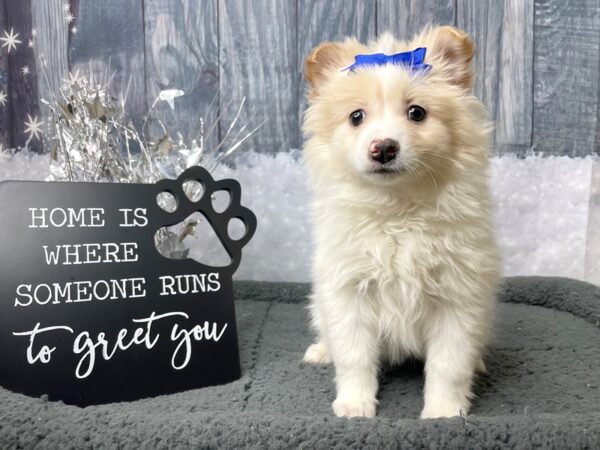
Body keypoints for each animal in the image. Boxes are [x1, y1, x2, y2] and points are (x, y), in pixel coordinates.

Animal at [300, 26, 502, 420]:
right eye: (356, 117)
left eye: (416, 113)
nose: (383, 148)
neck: (397, 209)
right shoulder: (348, 292)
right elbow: (354, 357)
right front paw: (354, 405)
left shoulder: (458, 298)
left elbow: (449, 365)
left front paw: (443, 411)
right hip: (320, 306)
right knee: (330, 337)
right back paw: (321, 351)